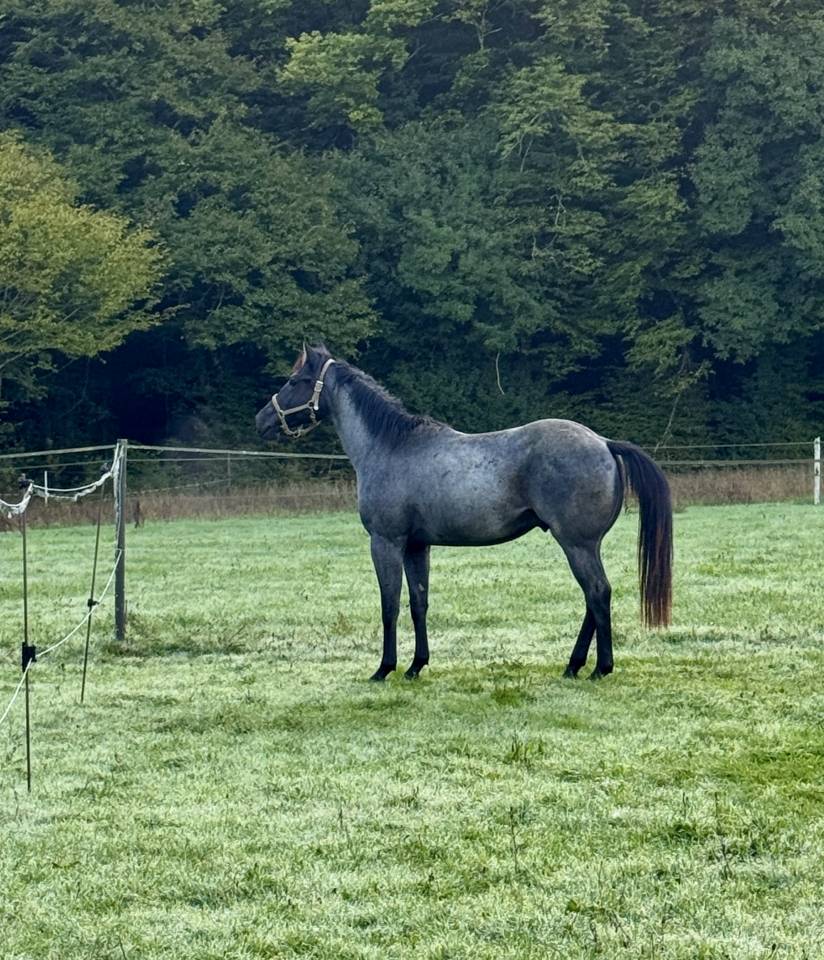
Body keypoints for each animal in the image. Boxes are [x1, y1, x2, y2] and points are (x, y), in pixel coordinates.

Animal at [256, 345, 672, 682]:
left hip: (577, 543)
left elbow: (389, 604)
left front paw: (384, 669)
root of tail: (604, 442)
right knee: (592, 598)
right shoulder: (417, 546)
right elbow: (418, 603)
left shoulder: (386, 543)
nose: (262, 420)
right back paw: (573, 666)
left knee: (598, 593)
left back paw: (600, 668)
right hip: (583, 545)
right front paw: (416, 666)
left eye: (295, 380)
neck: (390, 447)